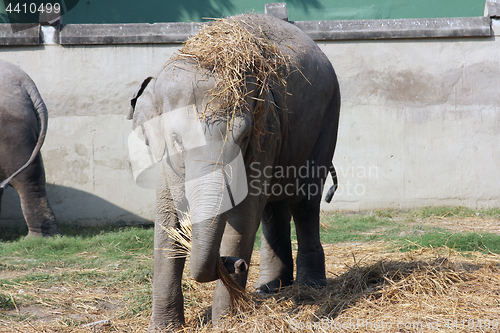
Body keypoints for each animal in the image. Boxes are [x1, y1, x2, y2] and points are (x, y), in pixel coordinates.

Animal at [127, 14, 342, 330]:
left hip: (327, 119)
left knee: (304, 201)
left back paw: (309, 286)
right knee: (273, 207)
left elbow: (244, 214)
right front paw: (163, 328)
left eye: (242, 138)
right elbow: (167, 216)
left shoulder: (267, 131)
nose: (235, 263)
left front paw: (225, 323)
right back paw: (269, 288)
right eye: (176, 140)